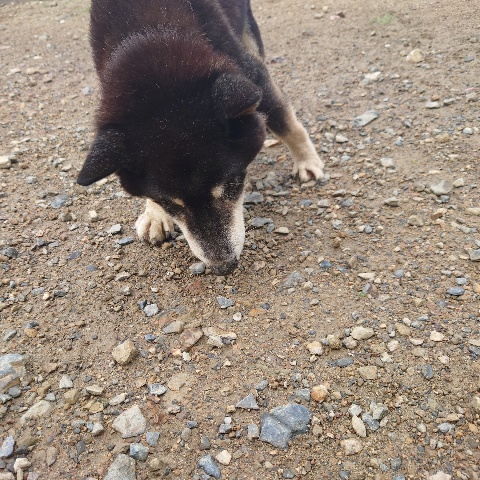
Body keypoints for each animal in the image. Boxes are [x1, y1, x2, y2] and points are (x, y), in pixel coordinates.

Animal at [77, 0, 325, 275]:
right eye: (170, 203)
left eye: (232, 183)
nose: (224, 267)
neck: (149, 36)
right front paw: (154, 214)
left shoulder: (251, 75)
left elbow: (286, 122)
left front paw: (307, 162)